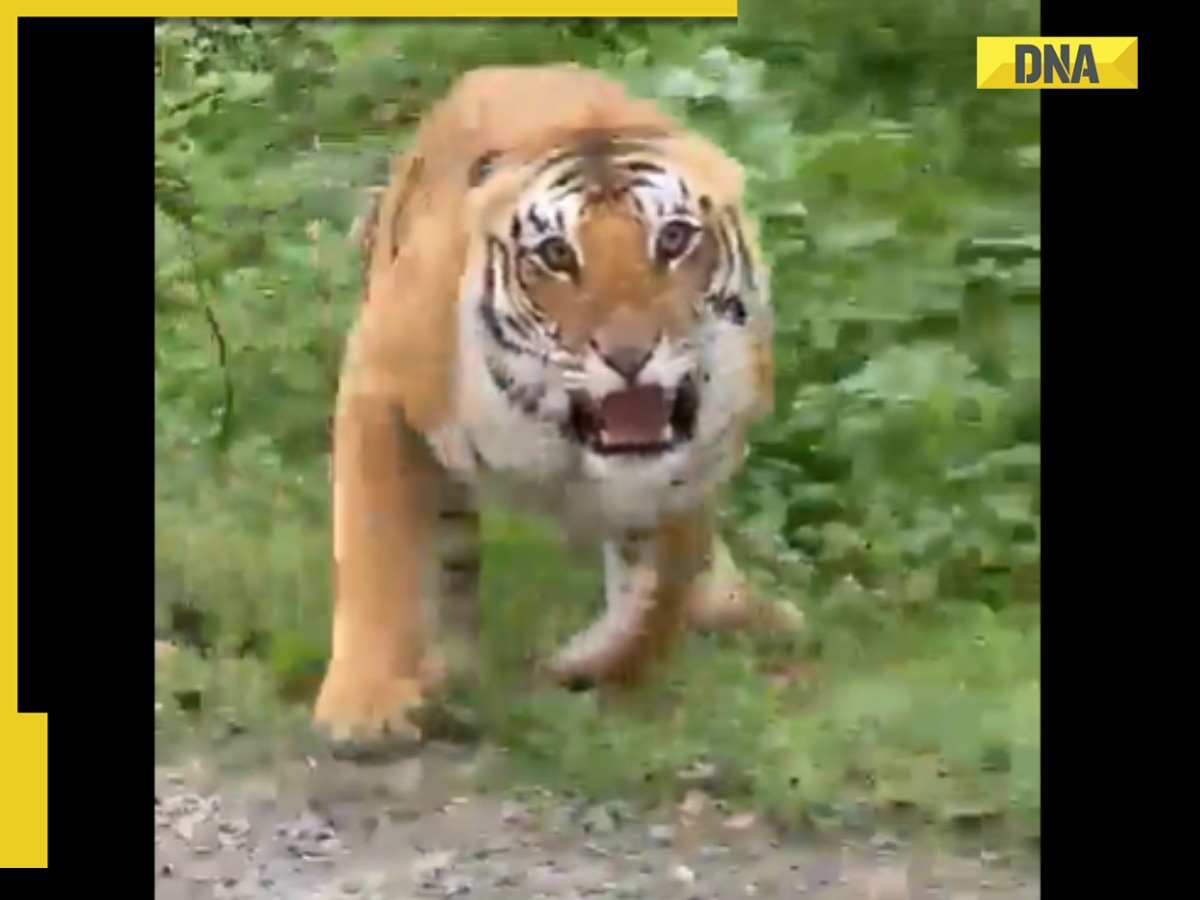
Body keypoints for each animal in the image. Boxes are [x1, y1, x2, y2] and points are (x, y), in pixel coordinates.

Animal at [319, 63, 801, 763]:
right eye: (555, 254)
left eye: (674, 239)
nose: (629, 355)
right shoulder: (381, 389)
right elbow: (379, 558)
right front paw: (366, 708)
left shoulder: (695, 463)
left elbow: (659, 597)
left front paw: (596, 672)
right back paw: (446, 669)